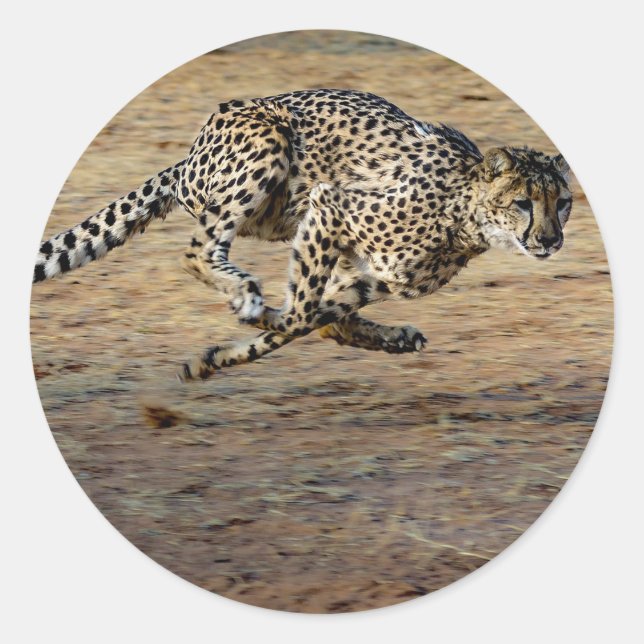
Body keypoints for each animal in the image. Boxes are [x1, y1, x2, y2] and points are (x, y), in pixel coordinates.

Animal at [33, 89, 572, 381]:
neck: (465, 212)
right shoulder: (331, 206)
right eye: (524, 203)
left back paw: (390, 337)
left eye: (563, 203)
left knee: (329, 319)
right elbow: (299, 316)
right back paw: (246, 294)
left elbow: (314, 318)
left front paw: (214, 358)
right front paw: (251, 321)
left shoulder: (375, 276)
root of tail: (187, 158)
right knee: (197, 251)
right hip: (269, 144)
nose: (551, 240)